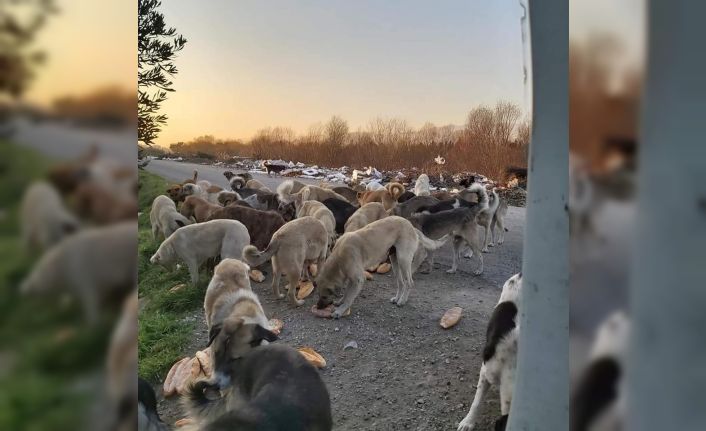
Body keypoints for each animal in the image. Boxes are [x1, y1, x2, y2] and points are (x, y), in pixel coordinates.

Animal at [314, 216, 446, 318]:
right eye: (319, 294)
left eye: (324, 296)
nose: (318, 307)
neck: (339, 258)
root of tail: (411, 226)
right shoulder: (352, 279)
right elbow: (347, 293)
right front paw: (340, 302)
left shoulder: (358, 279)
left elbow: (349, 298)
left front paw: (340, 311)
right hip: (394, 261)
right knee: (401, 282)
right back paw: (397, 298)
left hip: (403, 260)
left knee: (409, 282)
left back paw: (402, 301)